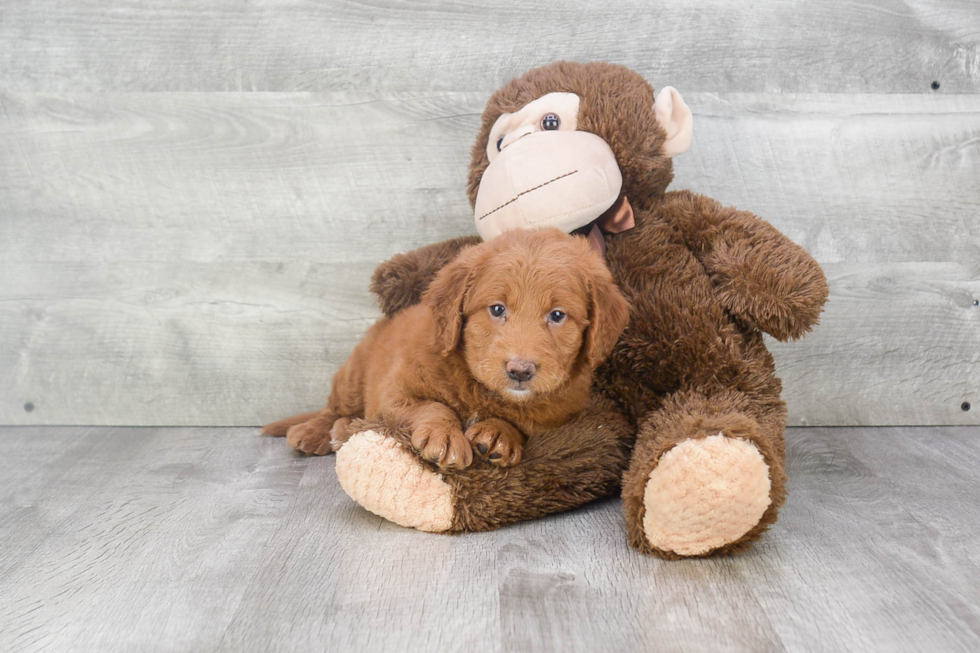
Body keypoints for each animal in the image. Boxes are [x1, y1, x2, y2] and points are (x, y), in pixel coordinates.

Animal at [262, 227, 628, 466]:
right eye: (497, 309)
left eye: (557, 315)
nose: (520, 371)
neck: (478, 387)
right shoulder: (392, 393)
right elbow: (434, 406)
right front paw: (446, 437)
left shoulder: (554, 415)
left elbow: (518, 423)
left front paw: (499, 433)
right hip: (353, 374)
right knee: (335, 408)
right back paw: (316, 432)